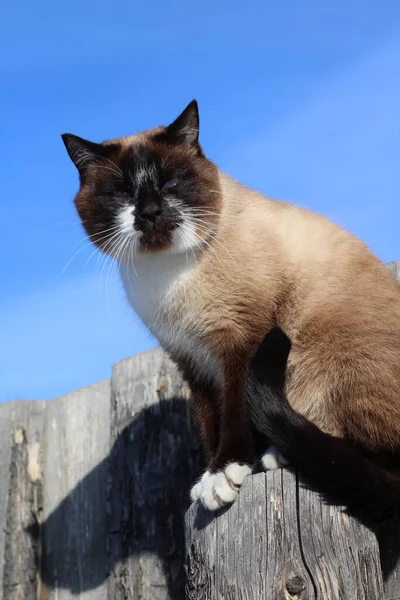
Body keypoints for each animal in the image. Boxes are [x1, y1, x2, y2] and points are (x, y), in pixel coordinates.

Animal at [61, 101, 400, 524]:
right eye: (122, 192)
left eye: (172, 183)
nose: (151, 212)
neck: (167, 275)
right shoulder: (190, 358)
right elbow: (212, 419)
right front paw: (211, 475)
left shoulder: (239, 339)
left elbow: (235, 409)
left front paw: (226, 472)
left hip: (330, 355)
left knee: (380, 458)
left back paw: (276, 454)